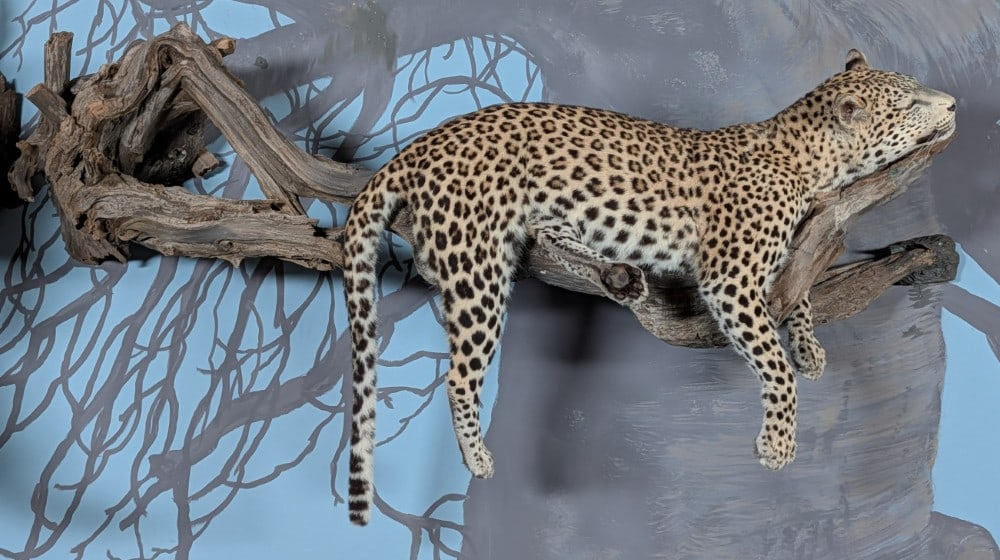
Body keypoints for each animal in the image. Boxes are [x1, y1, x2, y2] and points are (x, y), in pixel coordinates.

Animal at [341, 49, 956, 525]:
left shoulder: (779, 257)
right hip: (477, 268)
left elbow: (798, 290)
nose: (951, 104)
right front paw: (778, 444)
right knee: (459, 375)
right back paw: (478, 460)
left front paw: (809, 348)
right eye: (908, 103)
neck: (813, 165)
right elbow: (773, 364)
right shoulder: (730, 278)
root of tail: (422, 143)